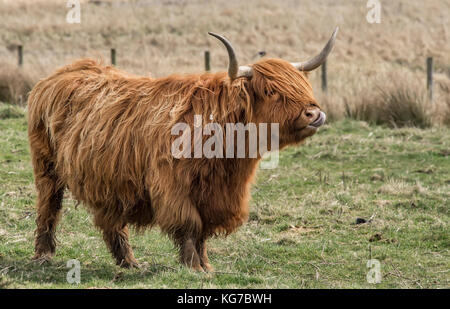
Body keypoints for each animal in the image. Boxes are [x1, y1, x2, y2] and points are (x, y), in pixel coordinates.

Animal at [28, 28, 338, 270]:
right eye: (271, 91)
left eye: (302, 86)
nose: (314, 114)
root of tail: (63, 72)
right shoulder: (173, 186)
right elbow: (189, 225)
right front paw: (193, 267)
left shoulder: (215, 195)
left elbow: (203, 231)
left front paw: (206, 265)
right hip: (46, 168)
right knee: (48, 208)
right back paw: (44, 255)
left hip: (108, 178)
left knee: (111, 221)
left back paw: (129, 261)